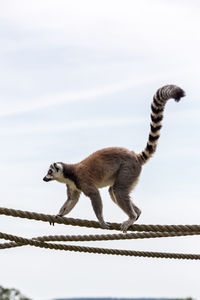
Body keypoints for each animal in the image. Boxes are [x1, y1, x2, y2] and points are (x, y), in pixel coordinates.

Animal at [43, 84, 185, 232]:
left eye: (49, 172)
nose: (44, 178)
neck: (68, 174)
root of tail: (134, 156)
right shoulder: (72, 185)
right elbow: (72, 200)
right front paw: (58, 215)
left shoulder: (82, 180)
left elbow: (95, 194)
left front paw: (101, 220)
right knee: (114, 191)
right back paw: (137, 213)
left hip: (128, 169)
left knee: (118, 190)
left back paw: (132, 217)